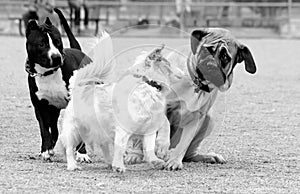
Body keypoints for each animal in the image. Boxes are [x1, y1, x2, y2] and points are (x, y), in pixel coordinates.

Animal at [25, 8, 91, 160]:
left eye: (57, 42)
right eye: (42, 44)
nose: (56, 57)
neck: (48, 73)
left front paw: (82, 153)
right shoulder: (40, 107)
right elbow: (45, 130)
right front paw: (45, 150)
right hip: (53, 109)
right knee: (53, 130)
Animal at [58, 32, 178, 173]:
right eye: (169, 65)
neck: (148, 84)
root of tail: (78, 90)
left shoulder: (149, 129)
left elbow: (149, 147)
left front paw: (155, 161)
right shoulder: (123, 130)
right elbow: (120, 148)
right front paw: (119, 165)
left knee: (103, 146)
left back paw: (110, 163)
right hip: (74, 131)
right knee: (69, 148)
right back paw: (73, 165)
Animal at [125, 28, 256, 171]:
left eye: (225, 57)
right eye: (206, 50)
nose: (210, 65)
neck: (196, 84)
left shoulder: (197, 117)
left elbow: (184, 143)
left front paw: (175, 161)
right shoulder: (161, 103)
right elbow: (165, 123)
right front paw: (162, 144)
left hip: (209, 120)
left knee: (189, 154)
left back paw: (206, 156)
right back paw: (135, 155)